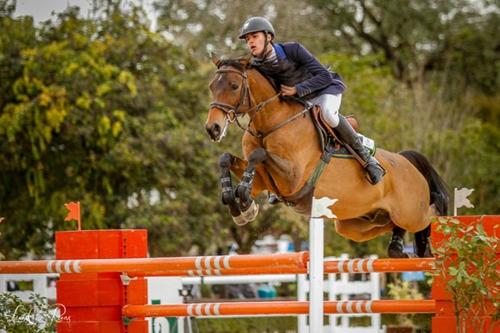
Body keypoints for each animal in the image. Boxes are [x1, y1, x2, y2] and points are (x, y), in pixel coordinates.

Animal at [204, 55, 450, 258]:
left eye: (234, 86)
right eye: (212, 86)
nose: (213, 129)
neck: (270, 124)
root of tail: (406, 162)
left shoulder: (291, 177)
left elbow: (258, 154)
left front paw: (244, 201)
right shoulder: (264, 181)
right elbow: (226, 159)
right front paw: (240, 207)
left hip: (411, 212)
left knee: (430, 212)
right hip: (359, 224)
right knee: (391, 225)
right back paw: (398, 249)